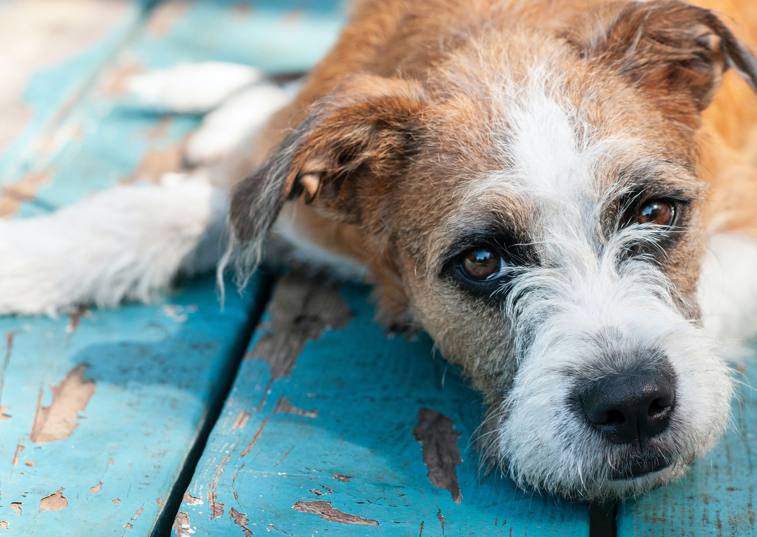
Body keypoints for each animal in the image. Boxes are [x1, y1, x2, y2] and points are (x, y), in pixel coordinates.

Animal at [1, 1, 756, 502]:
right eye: (481, 260)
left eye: (653, 212)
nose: (631, 403)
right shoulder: (279, 197)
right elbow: (149, 213)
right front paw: (30, 255)